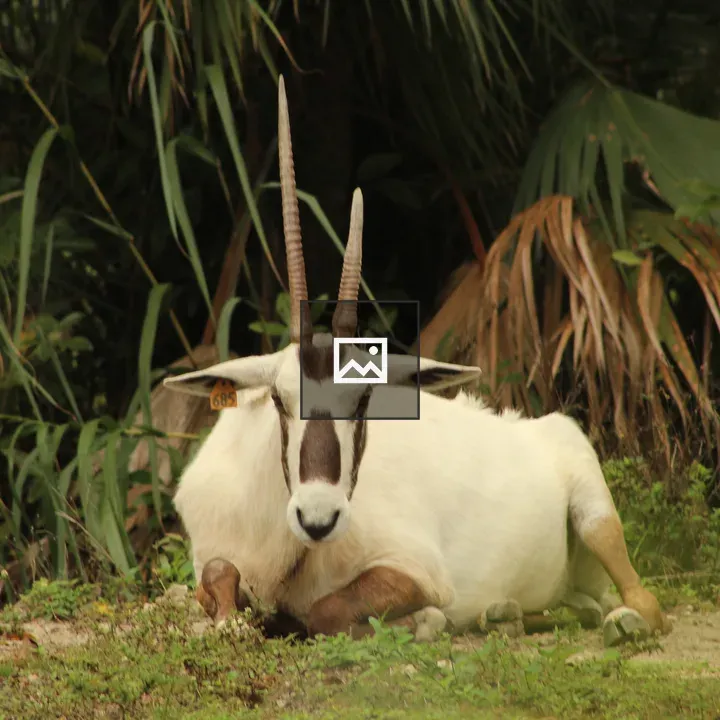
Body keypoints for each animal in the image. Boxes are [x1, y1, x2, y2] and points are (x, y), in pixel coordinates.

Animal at [162, 75, 671, 647]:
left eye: (364, 399)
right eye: (277, 398)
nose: (319, 517)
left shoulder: (417, 571)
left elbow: (327, 612)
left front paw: (423, 621)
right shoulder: (216, 555)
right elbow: (218, 578)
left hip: (595, 515)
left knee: (643, 601)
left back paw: (621, 620)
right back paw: (506, 613)